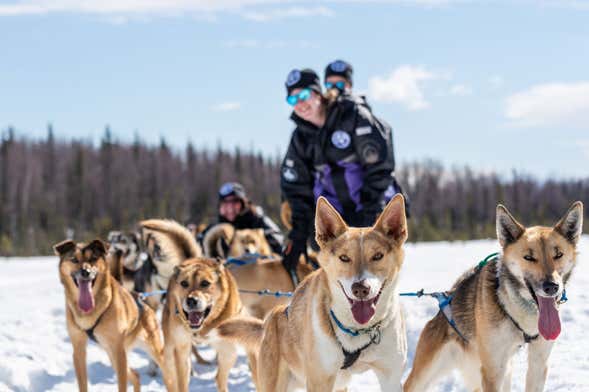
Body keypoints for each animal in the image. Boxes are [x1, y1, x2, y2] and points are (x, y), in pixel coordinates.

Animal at [54, 239, 173, 392]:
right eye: (74, 259)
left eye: (93, 258)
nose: (85, 272)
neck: (90, 311)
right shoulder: (79, 349)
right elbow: (83, 384)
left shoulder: (118, 351)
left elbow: (122, 385)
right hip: (112, 355)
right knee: (135, 375)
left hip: (150, 351)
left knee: (169, 378)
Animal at [218, 196, 406, 392]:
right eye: (344, 258)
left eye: (378, 256)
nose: (360, 288)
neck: (357, 330)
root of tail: (268, 322)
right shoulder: (320, 380)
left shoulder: (391, 377)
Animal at [404, 202, 584, 392]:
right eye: (529, 257)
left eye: (558, 254)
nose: (551, 287)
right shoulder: (493, 370)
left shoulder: (538, 362)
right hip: (424, 376)